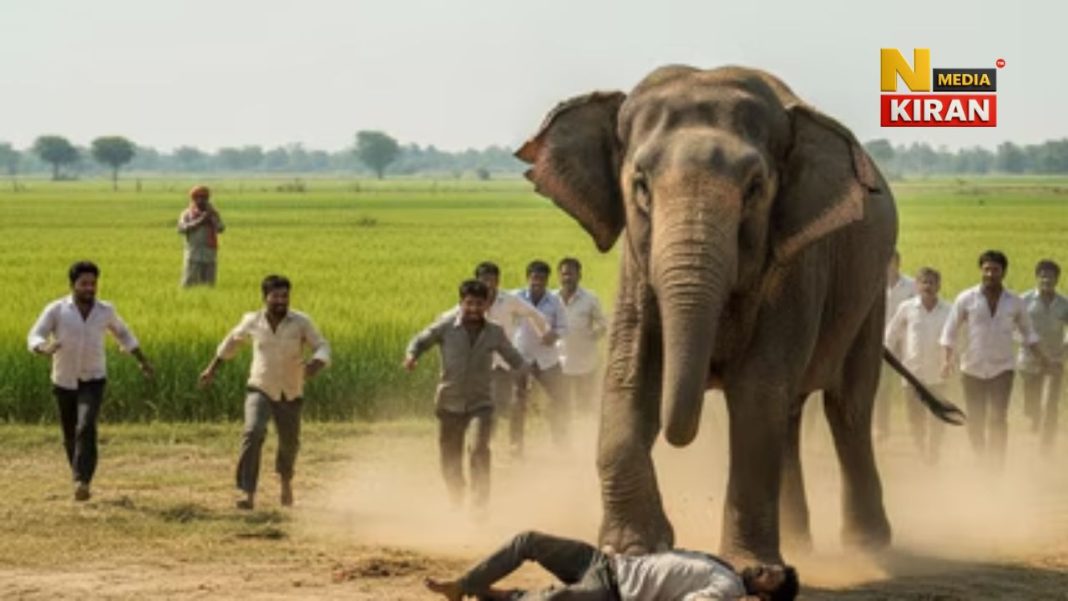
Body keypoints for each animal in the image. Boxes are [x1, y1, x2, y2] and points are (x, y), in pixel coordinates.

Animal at [515, 65, 963, 564]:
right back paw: (800, 542)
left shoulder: (794, 262)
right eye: (640, 186)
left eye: (754, 189)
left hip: (868, 294)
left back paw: (866, 545)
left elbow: (755, 388)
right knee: (790, 412)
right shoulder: (636, 264)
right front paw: (632, 551)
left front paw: (753, 569)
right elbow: (629, 377)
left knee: (847, 406)